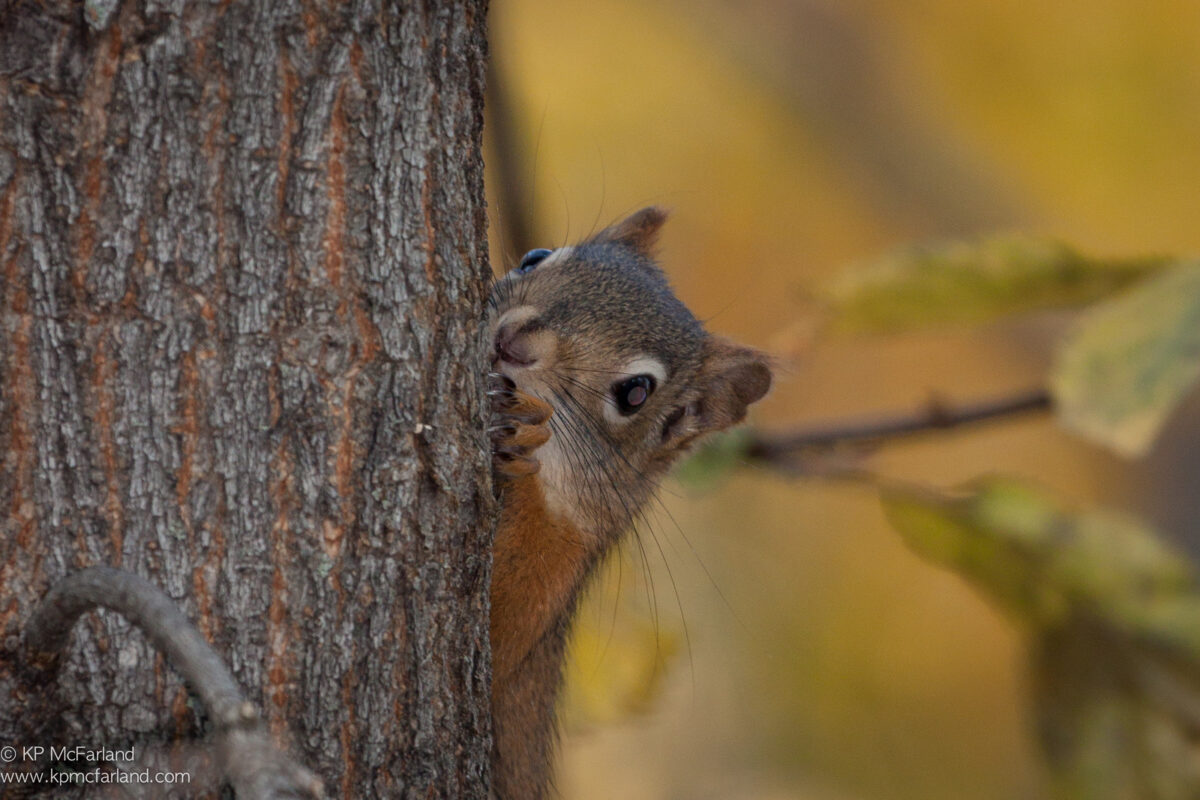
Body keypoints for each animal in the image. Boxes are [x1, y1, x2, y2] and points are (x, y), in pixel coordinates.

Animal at [484, 208, 772, 800]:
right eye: (534, 258)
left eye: (635, 393)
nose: (515, 340)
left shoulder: (558, 565)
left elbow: (502, 630)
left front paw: (519, 434)